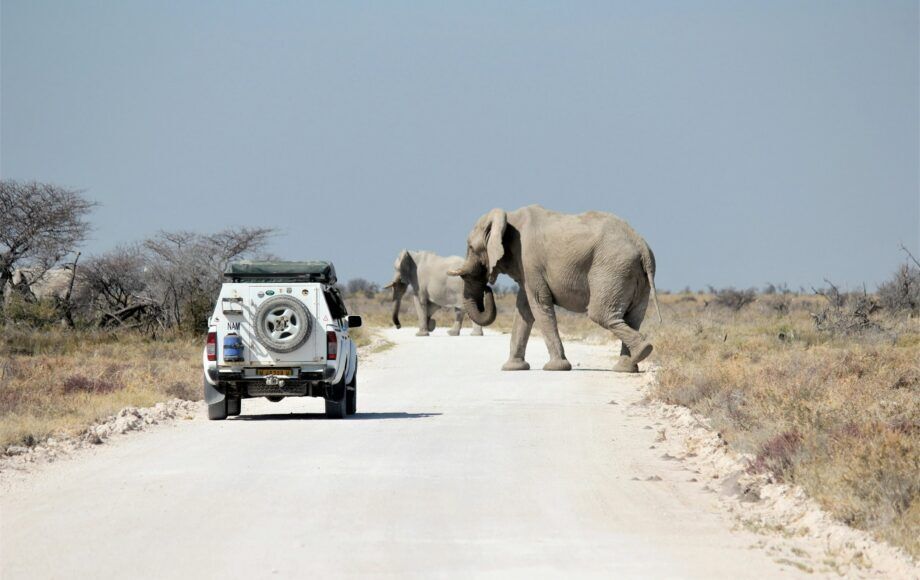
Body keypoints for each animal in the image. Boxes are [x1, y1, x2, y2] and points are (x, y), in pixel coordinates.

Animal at [448, 205, 661, 373]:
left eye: (470, 247)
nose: (487, 290)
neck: (509, 217)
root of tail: (642, 246)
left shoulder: (529, 261)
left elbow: (538, 304)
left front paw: (555, 367)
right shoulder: (526, 268)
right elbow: (524, 309)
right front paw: (512, 368)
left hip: (612, 269)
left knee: (601, 314)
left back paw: (642, 351)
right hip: (633, 275)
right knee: (632, 318)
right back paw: (627, 366)